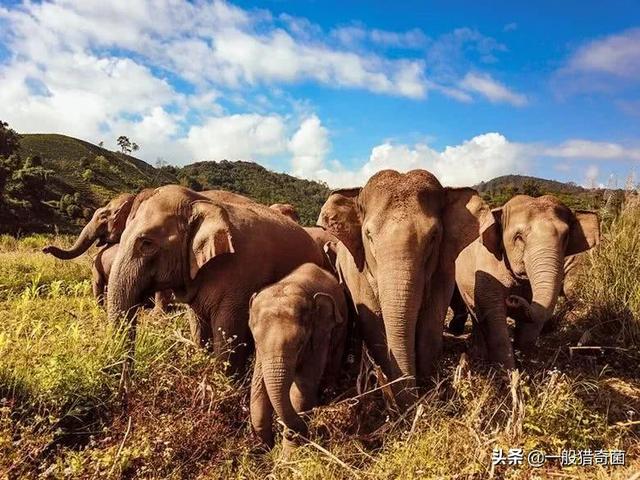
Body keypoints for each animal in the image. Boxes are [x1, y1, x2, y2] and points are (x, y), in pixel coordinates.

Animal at [107, 186, 324, 376]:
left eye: (147, 244)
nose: (128, 379)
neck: (202, 203)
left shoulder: (240, 278)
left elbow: (228, 337)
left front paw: (225, 383)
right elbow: (198, 329)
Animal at [250, 262, 350, 454]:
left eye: (300, 343)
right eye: (256, 341)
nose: (292, 432)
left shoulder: (319, 335)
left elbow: (303, 386)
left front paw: (288, 455)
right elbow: (258, 385)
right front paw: (266, 449)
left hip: (341, 329)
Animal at [318, 169, 488, 402]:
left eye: (433, 236)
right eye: (369, 236)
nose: (413, 399)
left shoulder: (444, 267)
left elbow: (431, 321)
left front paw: (427, 387)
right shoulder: (357, 271)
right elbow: (373, 322)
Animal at [456, 194, 600, 368]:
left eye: (566, 236)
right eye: (518, 238)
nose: (512, 299)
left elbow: (535, 319)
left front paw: (525, 362)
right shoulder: (486, 268)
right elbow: (494, 314)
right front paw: (508, 370)